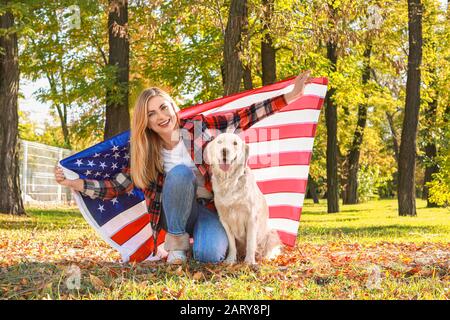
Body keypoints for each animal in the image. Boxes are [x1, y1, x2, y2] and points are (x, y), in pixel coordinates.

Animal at [205, 132, 282, 264]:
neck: (229, 181)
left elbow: (250, 242)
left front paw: (249, 262)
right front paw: (230, 260)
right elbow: (231, 243)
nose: (224, 151)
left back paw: (265, 257)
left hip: (271, 233)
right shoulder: (224, 219)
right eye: (219, 142)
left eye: (235, 143)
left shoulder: (251, 217)